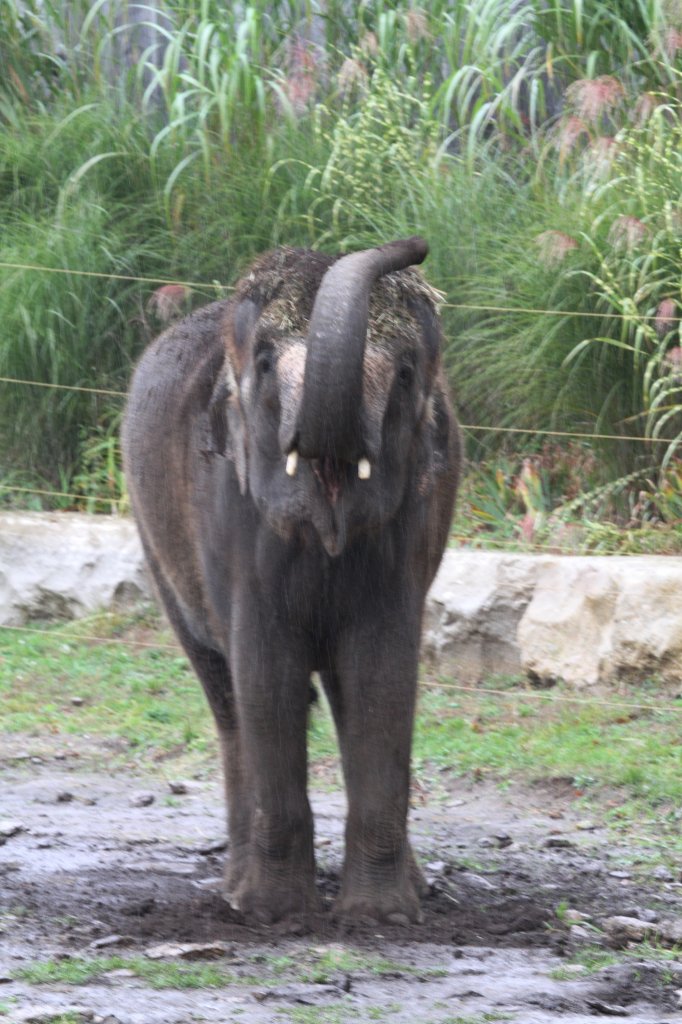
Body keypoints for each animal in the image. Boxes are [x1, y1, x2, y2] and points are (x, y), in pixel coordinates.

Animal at [122, 237, 462, 929]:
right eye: (265, 362)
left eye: (406, 373)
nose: (414, 248)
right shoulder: (228, 517)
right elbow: (267, 674)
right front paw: (273, 915)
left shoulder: (412, 528)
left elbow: (381, 675)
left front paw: (381, 918)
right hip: (155, 544)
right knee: (225, 693)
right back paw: (234, 888)